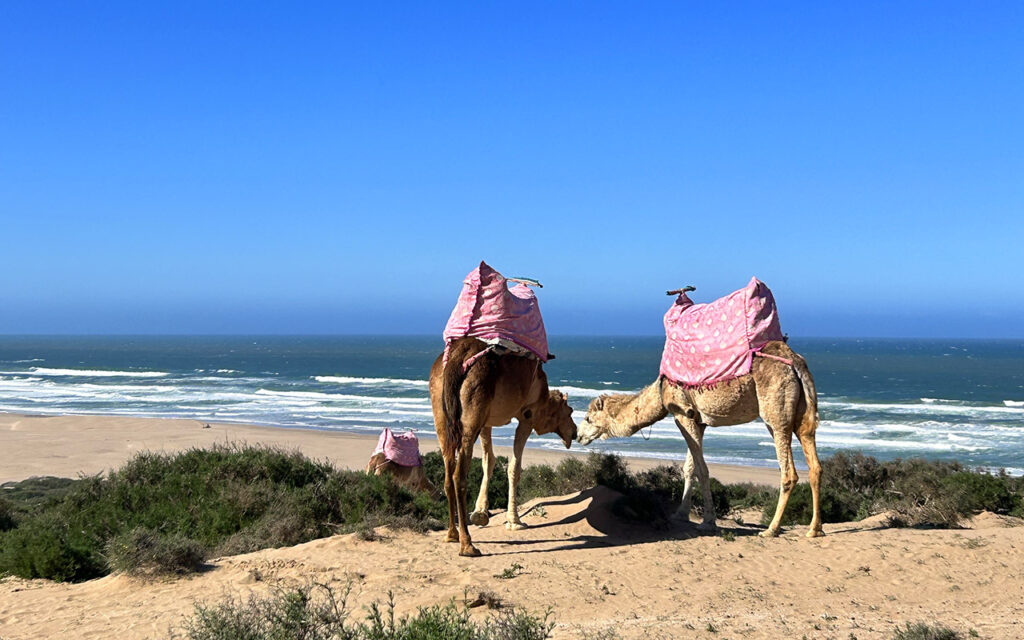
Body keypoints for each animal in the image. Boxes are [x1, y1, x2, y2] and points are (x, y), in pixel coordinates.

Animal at [430, 337, 577, 557]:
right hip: (473, 407)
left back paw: (452, 534)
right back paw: (467, 544)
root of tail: (456, 357)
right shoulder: (527, 416)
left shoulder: (486, 420)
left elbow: (488, 461)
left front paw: (481, 513)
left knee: (447, 473)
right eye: (570, 411)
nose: (575, 432)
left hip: (441, 412)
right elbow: (514, 468)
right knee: (458, 476)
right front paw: (515, 522)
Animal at [576, 340, 823, 538]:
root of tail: (795, 362)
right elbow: (689, 467)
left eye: (588, 418)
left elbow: (702, 470)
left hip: (775, 413)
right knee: (815, 464)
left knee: (788, 471)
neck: (661, 392)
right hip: (802, 413)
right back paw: (814, 529)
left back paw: (771, 529)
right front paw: (681, 514)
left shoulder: (683, 416)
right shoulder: (699, 422)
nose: (578, 435)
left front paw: (707, 522)